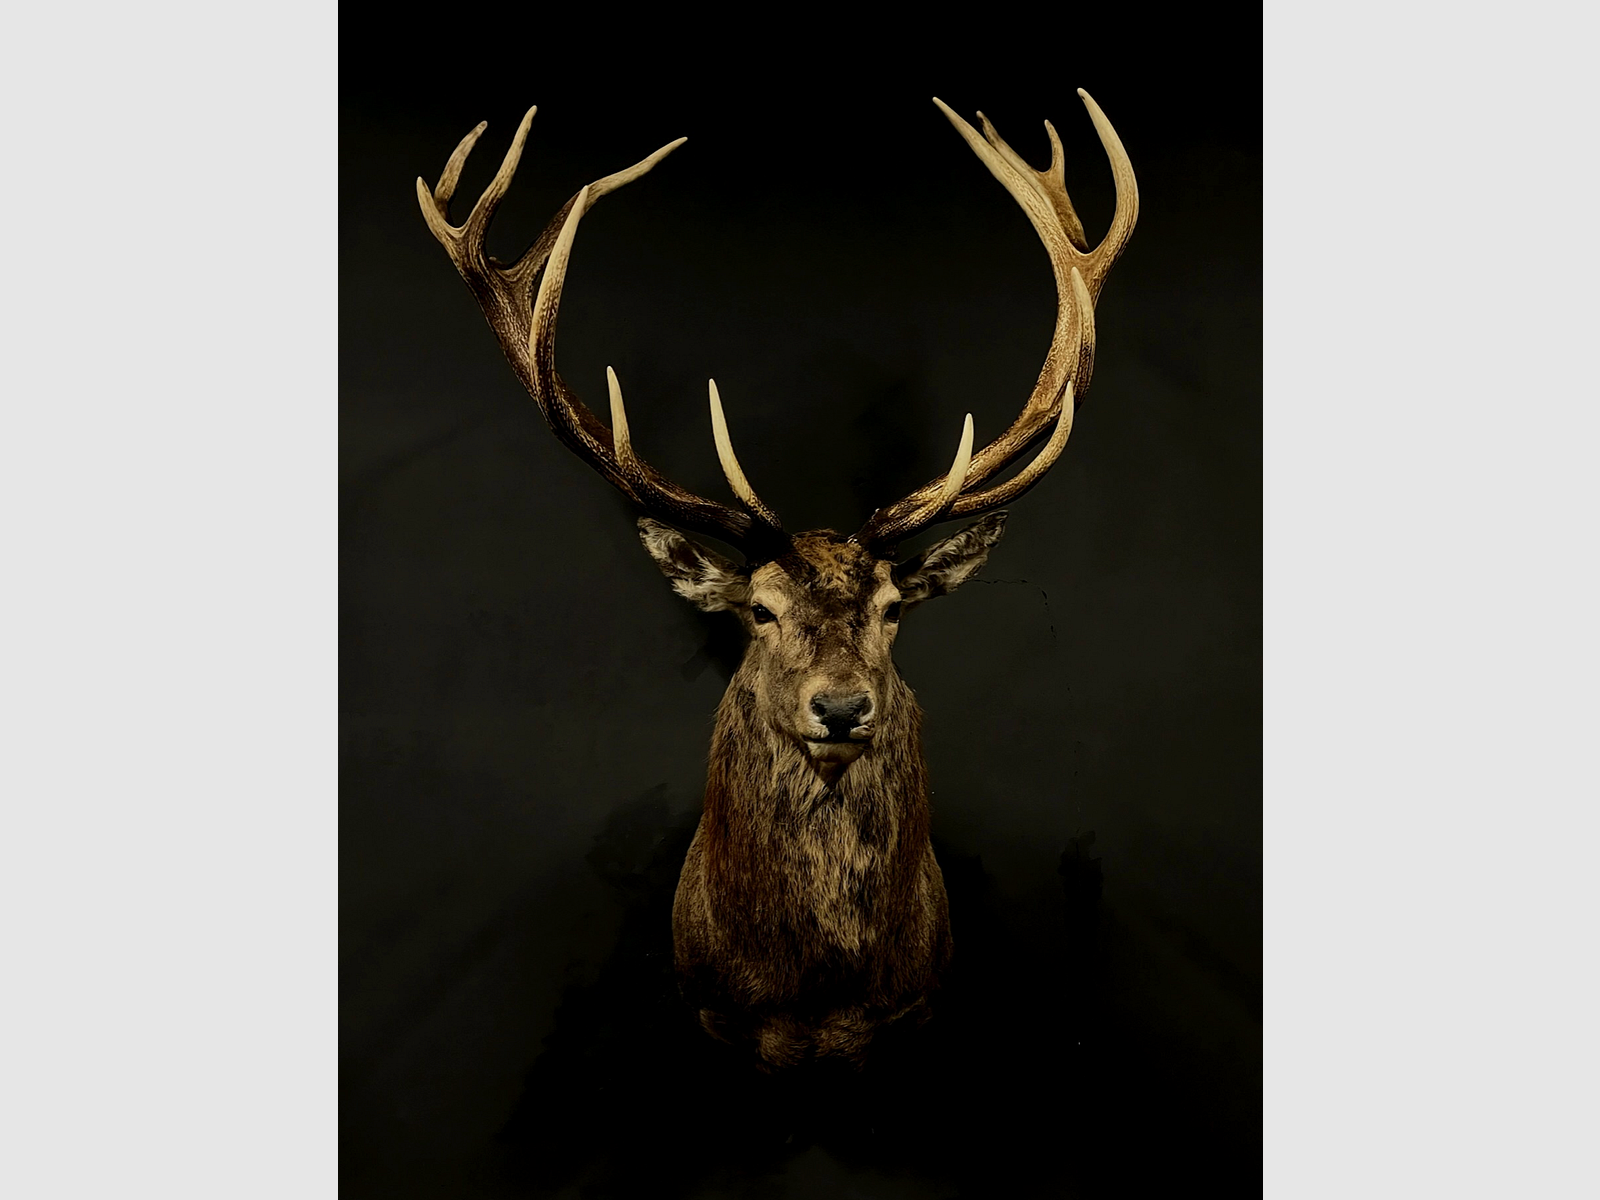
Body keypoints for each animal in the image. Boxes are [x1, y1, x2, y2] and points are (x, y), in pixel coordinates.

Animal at [416, 90, 1137, 1070]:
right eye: (758, 610)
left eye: (893, 609)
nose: (840, 707)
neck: (814, 998)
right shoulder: (712, 1011)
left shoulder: (917, 1007)